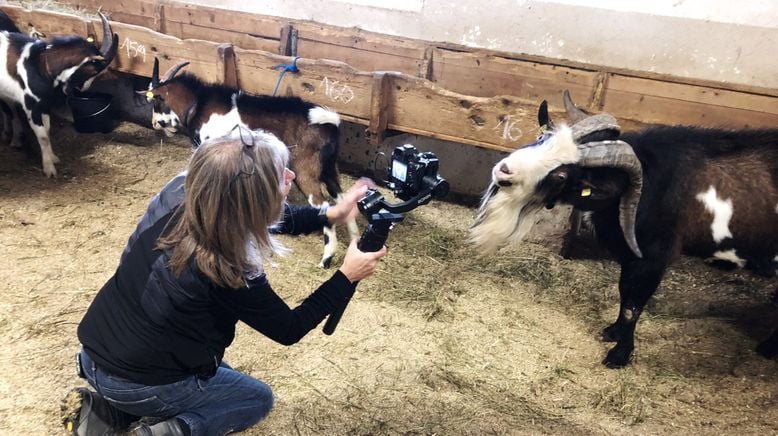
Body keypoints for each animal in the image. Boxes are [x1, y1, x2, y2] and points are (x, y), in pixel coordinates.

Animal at [0, 11, 116, 176]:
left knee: (8, 108)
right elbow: (42, 136)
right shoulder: (31, 106)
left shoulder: (44, 104)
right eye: (94, 71)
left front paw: (53, 158)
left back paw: (12, 136)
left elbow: (47, 131)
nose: (83, 88)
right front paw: (49, 169)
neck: (40, 65)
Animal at [146, 59, 358, 268]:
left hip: (306, 170)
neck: (198, 104)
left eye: (156, 101)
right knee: (342, 199)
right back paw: (355, 241)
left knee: (323, 206)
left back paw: (326, 259)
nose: (154, 123)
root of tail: (329, 123)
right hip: (329, 169)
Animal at [466, 92, 776, 368]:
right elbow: (624, 292)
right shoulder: (629, 253)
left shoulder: (653, 257)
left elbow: (632, 306)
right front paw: (612, 333)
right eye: (544, 138)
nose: (504, 169)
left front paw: (619, 355)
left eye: (562, 175)